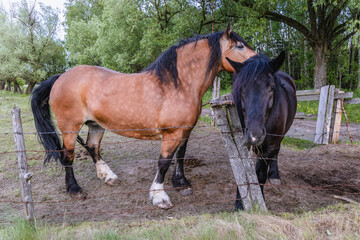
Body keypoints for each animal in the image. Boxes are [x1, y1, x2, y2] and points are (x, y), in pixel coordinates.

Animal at [31, 23, 256, 209]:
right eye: (239, 46)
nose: (259, 61)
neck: (179, 85)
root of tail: (61, 77)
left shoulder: (185, 131)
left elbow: (180, 156)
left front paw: (181, 183)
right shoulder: (172, 134)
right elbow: (163, 162)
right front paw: (159, 196)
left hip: (95, 124)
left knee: (93, 147)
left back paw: (107, 176)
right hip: (70, 127)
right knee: (67, 155)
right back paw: (75, 189)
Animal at [226, 51, 296, 209]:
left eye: (271, 88)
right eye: (241, 89)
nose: (255, 135)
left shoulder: (269, 145)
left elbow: (261, 175)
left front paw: (260, 201)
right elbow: (244, 173)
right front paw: (240, 203)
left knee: (276, 152)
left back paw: (274, 176)